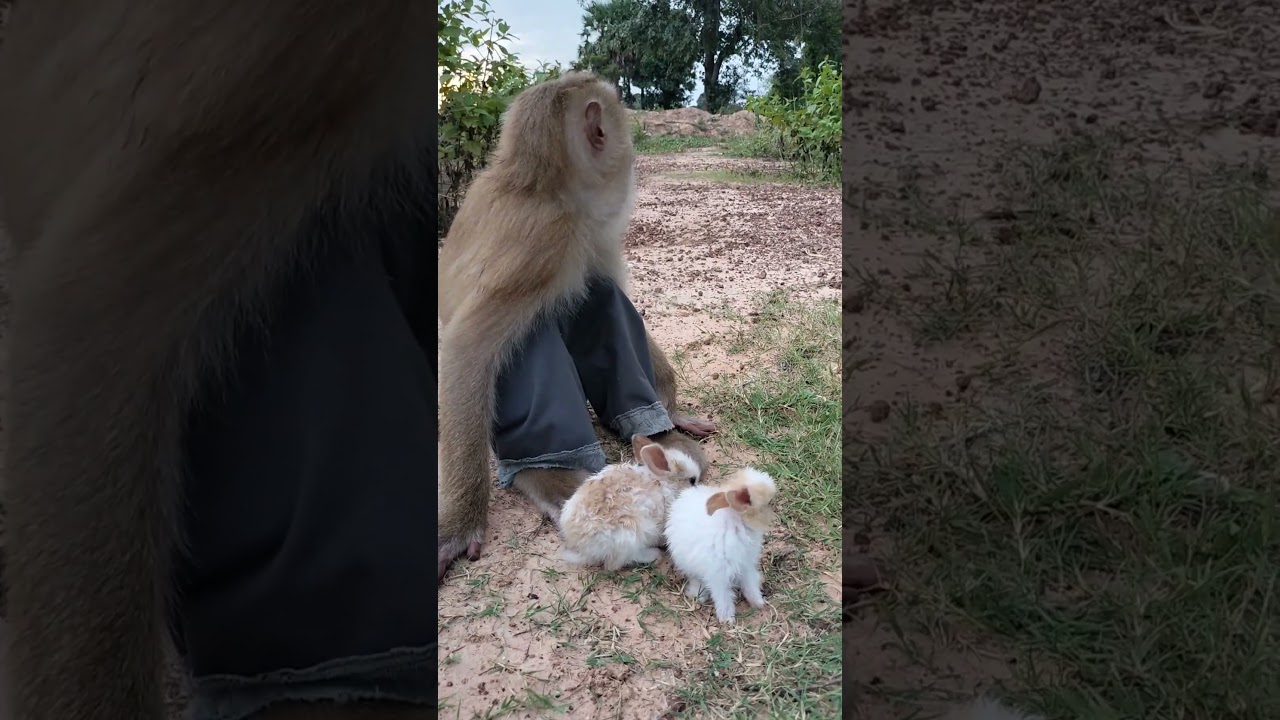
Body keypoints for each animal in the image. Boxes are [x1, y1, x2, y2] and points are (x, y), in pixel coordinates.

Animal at [558, 433, 703, 571]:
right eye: (692, 480)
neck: (665, 482)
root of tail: (585, 549)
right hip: (630, 537)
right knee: (616, 564)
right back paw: (654, 554)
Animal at [664, 466, 778, 623]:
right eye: (768, 504)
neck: (737, 522)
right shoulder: (718, 574)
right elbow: (722, 596)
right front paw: (727, 619)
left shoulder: (746, 565)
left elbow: (749, 585)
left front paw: (758, 603)